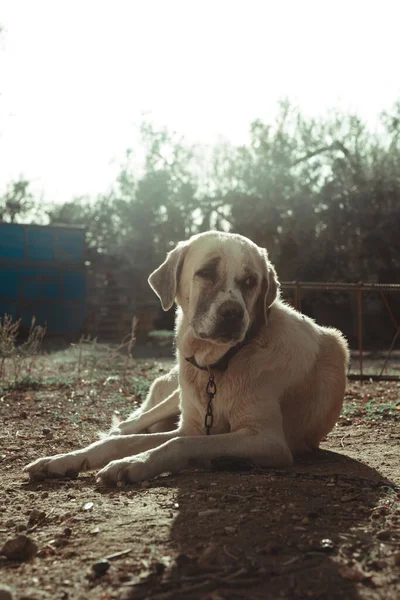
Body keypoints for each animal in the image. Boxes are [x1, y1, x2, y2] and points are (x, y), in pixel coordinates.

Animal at [25, 232, 350, 486]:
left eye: (250, 281)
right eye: (206, 272)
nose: (233, 314)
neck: (218, 366)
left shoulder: (267, 441)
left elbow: (179, 443)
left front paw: (134, 463)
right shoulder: (192, 424)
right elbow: (128, 442)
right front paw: (62, 460)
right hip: (175, 397)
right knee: (129, 427)